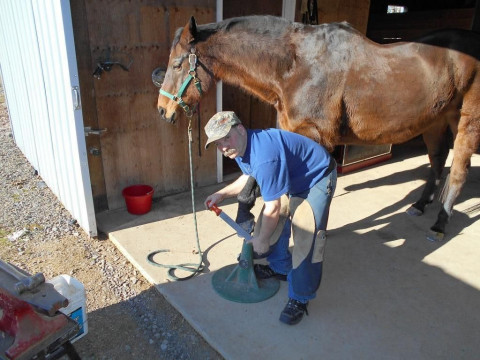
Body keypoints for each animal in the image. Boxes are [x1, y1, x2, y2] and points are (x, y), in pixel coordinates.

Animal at [158, 16, 480, 242]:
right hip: (435, 122)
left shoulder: (313, 136)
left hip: (466, 122)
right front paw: (246, 214)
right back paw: (420, 205)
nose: (163, 110)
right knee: (437, 163)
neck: (297, 66)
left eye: (177, 64)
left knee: (457, 172)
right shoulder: (290, 132)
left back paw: (440, 223)